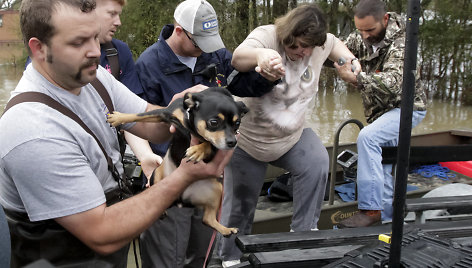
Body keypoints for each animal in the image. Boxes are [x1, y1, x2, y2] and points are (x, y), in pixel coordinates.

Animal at [107, 87, 247, 236]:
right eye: (214, 122)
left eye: (237, 124)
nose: (232, 142)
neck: (190, 125)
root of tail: (180, 200)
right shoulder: (165, 113)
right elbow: (139, 115)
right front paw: (119, 117)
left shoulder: (215, 149)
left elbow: (208, 143)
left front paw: (197, 150)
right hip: (157, 175)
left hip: (218, 188)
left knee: (207, 219)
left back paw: (226, 229)